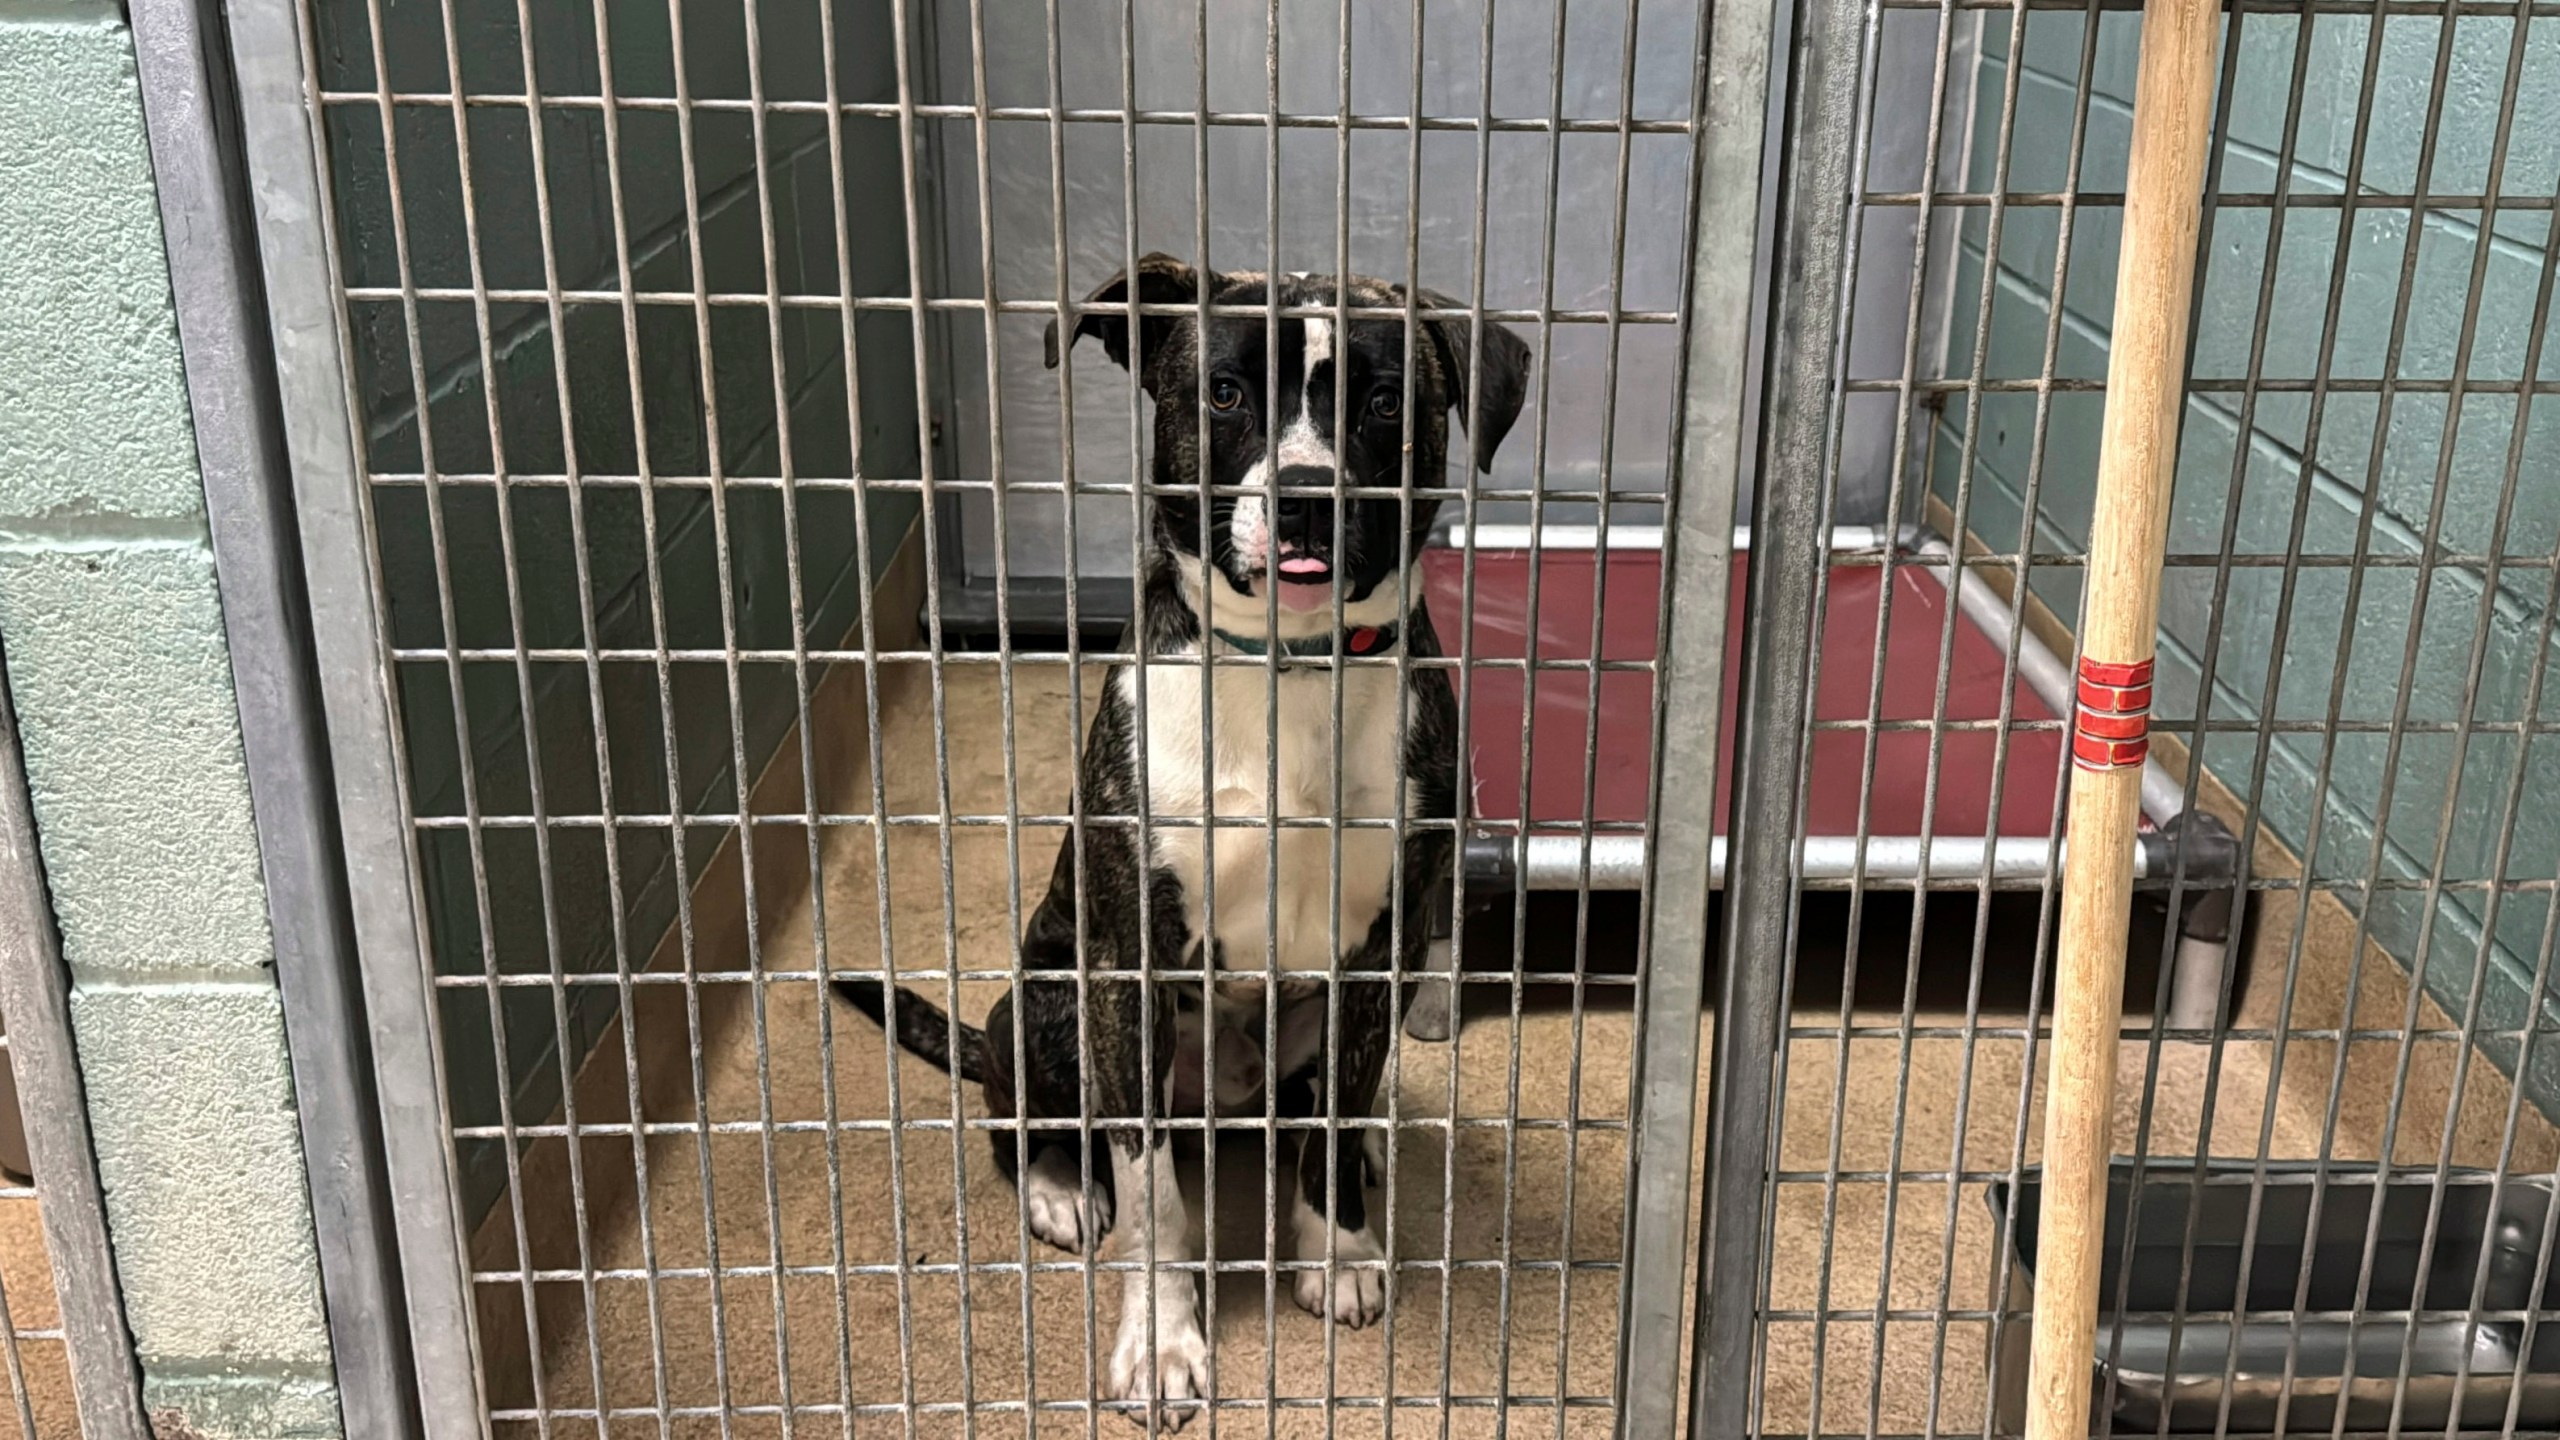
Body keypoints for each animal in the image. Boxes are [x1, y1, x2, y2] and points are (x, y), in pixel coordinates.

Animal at [839, 254, 1525, 1414]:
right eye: (1225, 391)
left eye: (1387, 400)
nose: (1305, 500)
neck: (1287, 667)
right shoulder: (1132, 968)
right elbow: (1155, 1193)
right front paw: (1160, 1340)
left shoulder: (1376, 956)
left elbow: (1337, 1120)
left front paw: (1336, 1248)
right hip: (1049, 999)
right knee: (1026, 1119)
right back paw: (1063, 1189)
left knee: (1316, 1112)